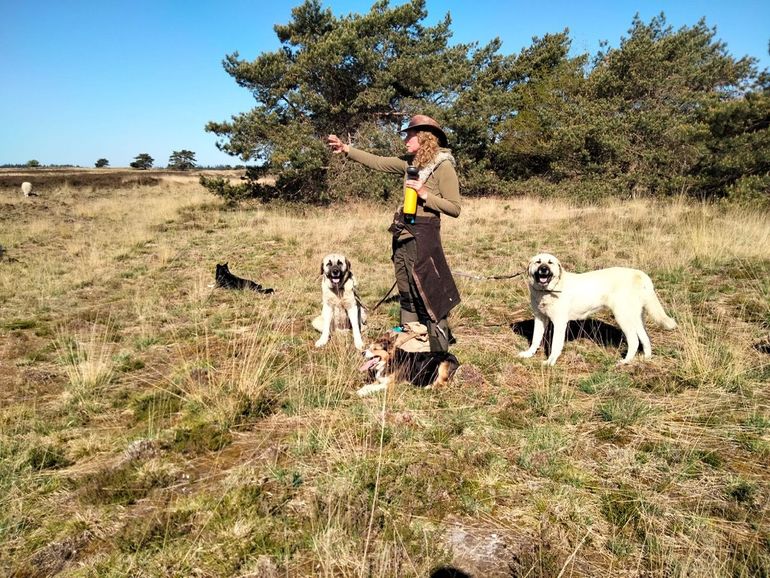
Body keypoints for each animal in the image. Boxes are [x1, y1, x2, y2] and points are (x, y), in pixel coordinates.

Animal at [520, 252, 676, 364]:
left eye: (550, 262)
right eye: (538, 262)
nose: (544, 269)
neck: (546, 291)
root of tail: (638, 273)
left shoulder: (559, 323)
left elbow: (555, 345)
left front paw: (550, 361)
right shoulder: (540, 318)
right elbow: (535, 339)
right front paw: (529, 354)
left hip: (622, 316)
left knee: (634, 340)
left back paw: (625, 361)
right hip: (635, 317)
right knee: (645, 338)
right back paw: (646, 359)